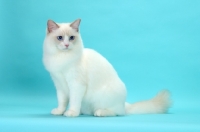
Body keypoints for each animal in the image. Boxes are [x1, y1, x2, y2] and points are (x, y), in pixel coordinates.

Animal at [43, 18, 171, 116]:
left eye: (71, 38)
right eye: (60, 38)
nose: (66, 45)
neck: (62, 58)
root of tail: (124, 104)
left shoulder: (76, 85)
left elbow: (74, 101)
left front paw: (72, 113)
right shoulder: (60, 85)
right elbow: (62, 102)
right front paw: (59, 111)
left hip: (104, 97)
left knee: (117, 112)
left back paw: (100, 112)